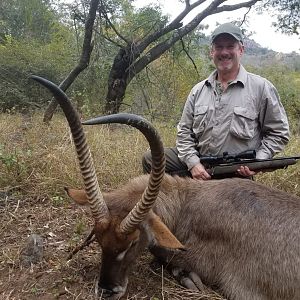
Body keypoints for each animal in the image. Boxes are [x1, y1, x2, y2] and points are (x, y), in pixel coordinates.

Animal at [31, 75, 300, 300]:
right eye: (97, 238)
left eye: (132, 243)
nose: (108, 290)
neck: (188, 201)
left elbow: (163, 255)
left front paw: (188, 277)